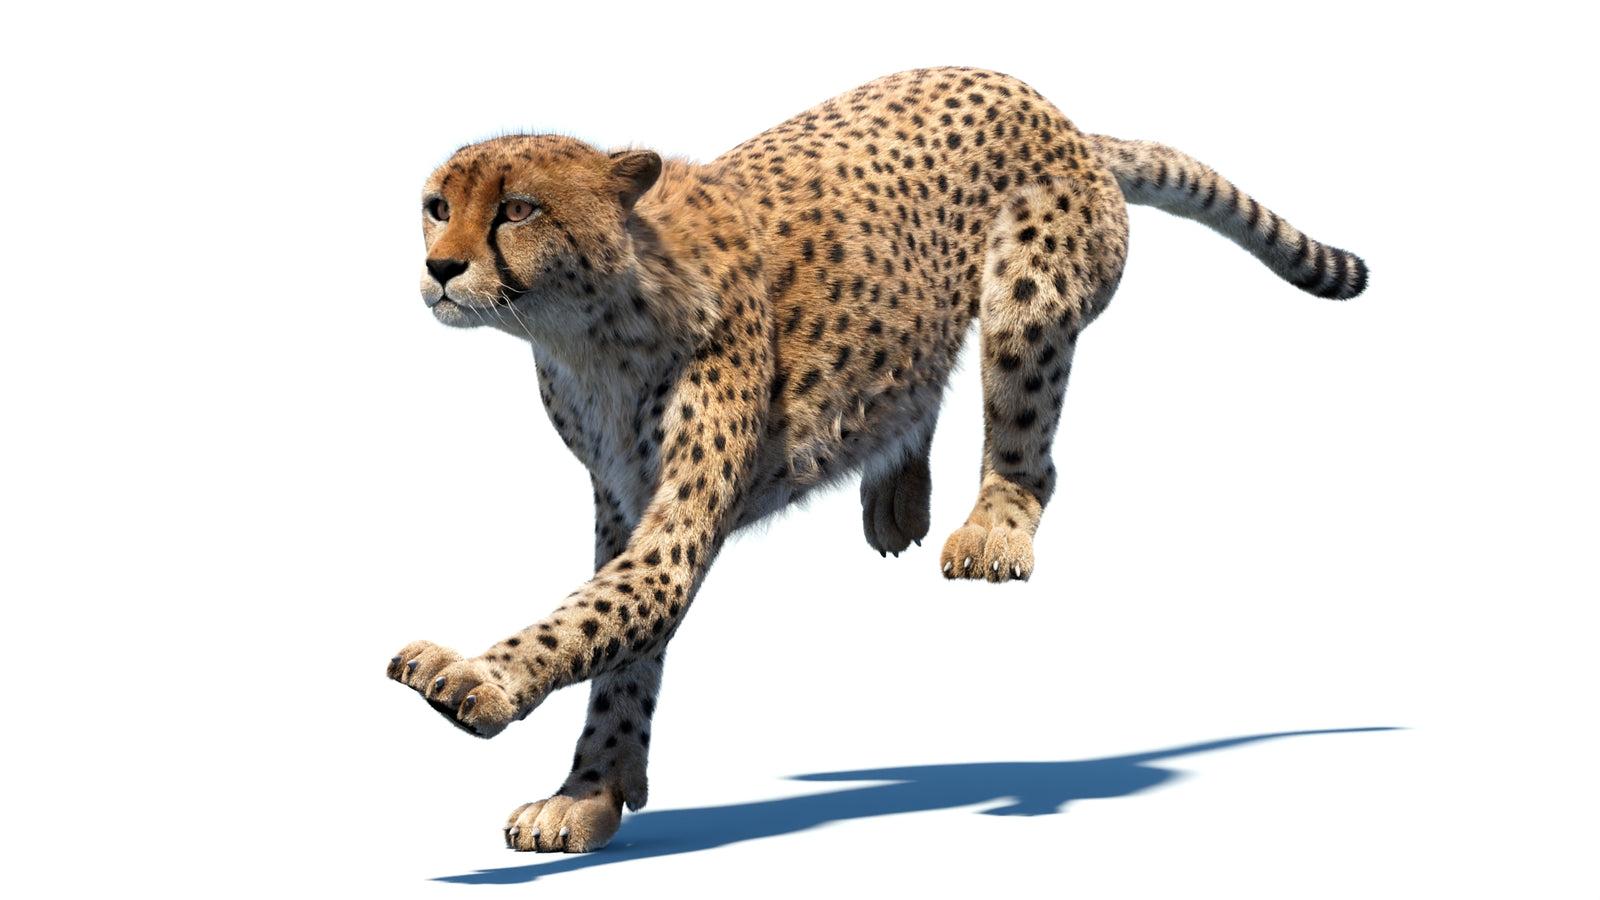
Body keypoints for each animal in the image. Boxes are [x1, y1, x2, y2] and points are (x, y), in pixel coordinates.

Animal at [387, 66, 1367, 853]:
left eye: (517, 208)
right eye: (437, 206)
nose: (440, 267)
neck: (583, 327)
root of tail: (1049, 106)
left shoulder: (672, 525)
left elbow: (595, 618)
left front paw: (475, 678)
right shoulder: (623, 499)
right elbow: (623, 654)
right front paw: (591, 793)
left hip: (1028, 298)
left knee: (1029, 450)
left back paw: (990, 531)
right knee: (916, 377)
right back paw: (898, 493)